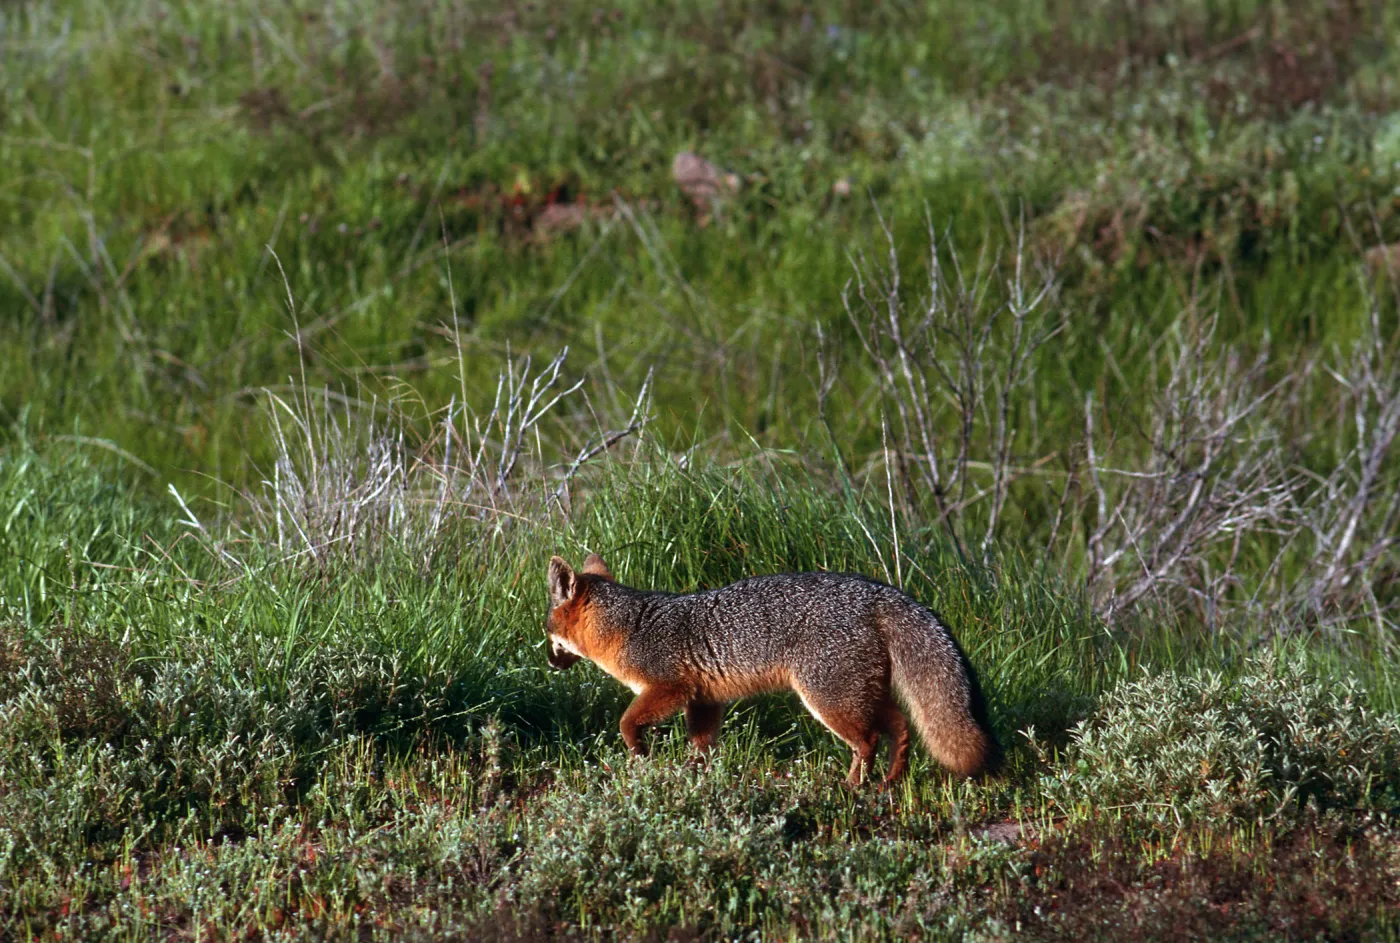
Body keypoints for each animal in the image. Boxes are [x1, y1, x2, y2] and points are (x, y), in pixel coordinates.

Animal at [544, 554, 999, 785]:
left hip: (829, 699)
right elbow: (701, 747)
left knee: (868, 740)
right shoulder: (704, 701)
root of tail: (875, 591)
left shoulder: (669, 689)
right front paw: (693, 778)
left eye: (548, 633)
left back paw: (852, 787)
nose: (549, 662)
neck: (629, 625)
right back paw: (890, 781)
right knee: (901, 726)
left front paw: (639, 751)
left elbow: (626, 721)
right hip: (859, 694)